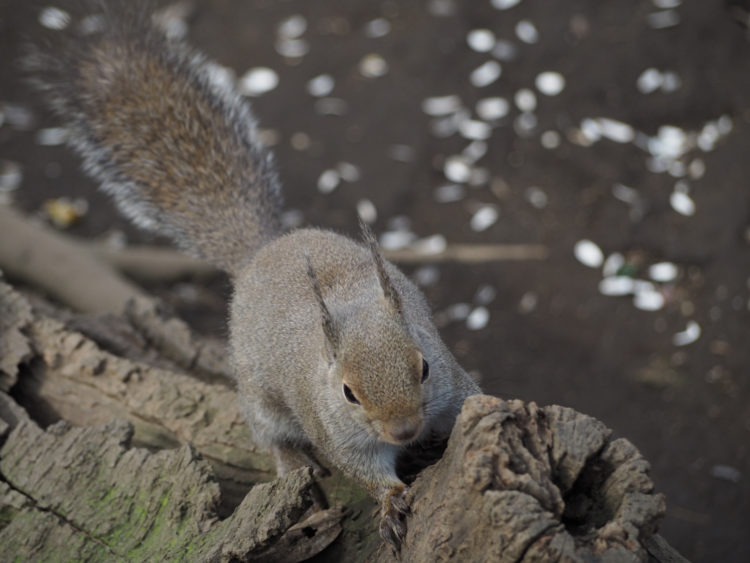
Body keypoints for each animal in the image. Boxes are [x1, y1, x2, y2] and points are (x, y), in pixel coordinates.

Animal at [25, 1, 482, 552]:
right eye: (348, 393)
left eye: (424, 367)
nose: (405, 430)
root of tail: (262, 251)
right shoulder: (333, 428)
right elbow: (362, 469)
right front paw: (391, 501)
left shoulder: (453, 384)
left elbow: (473, 401)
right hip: (259, 395)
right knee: (270, 435)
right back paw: (290, 460)